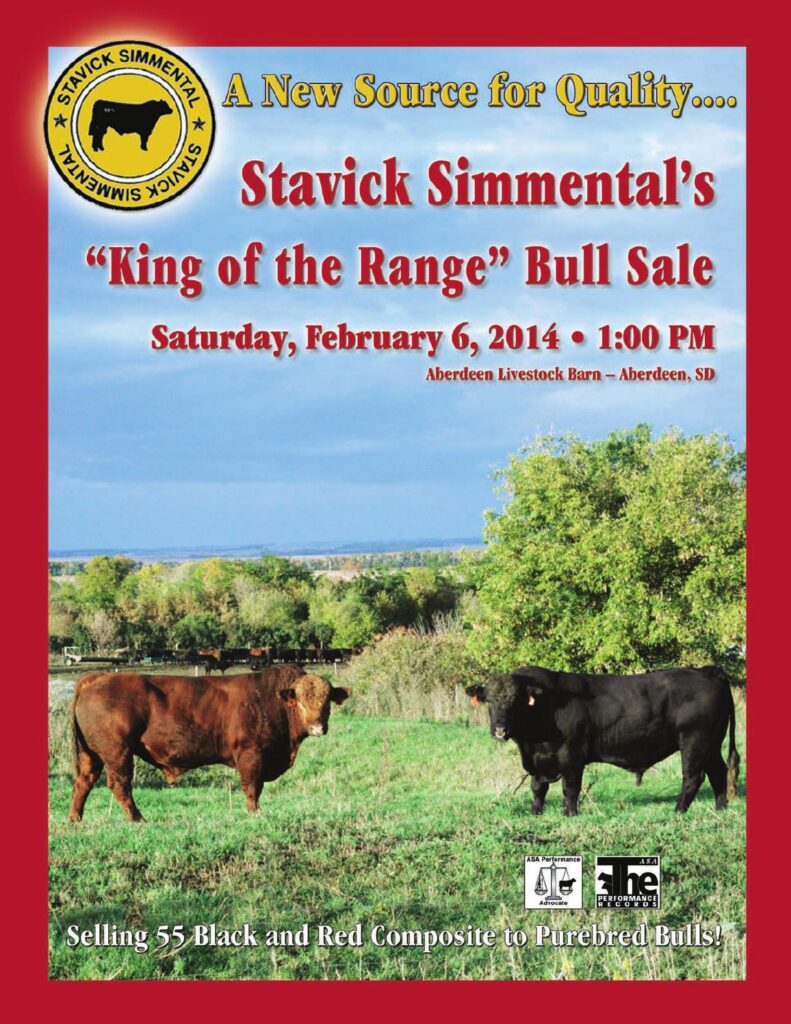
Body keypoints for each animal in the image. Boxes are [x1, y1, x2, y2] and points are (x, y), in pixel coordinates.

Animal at [68, 665, 351, 822]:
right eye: (301, 701)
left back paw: (75, 819)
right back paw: (137, 818)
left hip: (92, 755)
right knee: (120, 784)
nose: (318, 727)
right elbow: (252, 787)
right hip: (118, 753)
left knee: (84, 782)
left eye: (327, 701)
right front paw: (254, 813)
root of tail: (97, 678)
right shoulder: (250, 753)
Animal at [466, 665, 740, 815]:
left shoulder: (571, 756)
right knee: (718, 772)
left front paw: (570, 814)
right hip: (711, 744)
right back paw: (721, 808)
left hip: (695, 741)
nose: (500, 730)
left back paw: (678, 810)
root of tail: (705, 671)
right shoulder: (537, 760)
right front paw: (536, 813)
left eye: (516, 700)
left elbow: (570, 789)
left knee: (693, 777)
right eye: (489, 701)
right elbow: (537, 788)